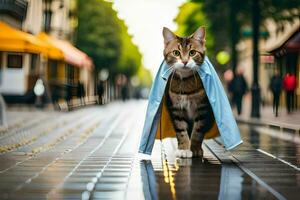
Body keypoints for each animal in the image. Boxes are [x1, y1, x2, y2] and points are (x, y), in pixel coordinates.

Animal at [163, 26, 214, 158]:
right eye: (176, 53)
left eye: (192, 52)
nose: (185, 61)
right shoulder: (176, 109)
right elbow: (181, 130)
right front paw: (184, 149)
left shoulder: (203, 108)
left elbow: (198, 131)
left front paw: (195, 148)